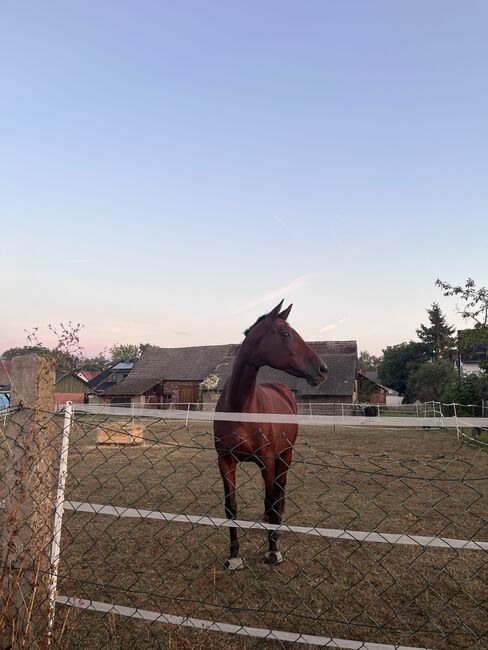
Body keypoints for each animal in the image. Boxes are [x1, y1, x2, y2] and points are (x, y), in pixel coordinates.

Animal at [214, 300, 328, 568]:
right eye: (285, 334)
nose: (322, 369)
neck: (241, 408)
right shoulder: (225, 461)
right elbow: (231, 506)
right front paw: (233, 555)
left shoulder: (266, 461)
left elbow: (271, 499)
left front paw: (273, 551)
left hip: (285, 456)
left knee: (279, 493)